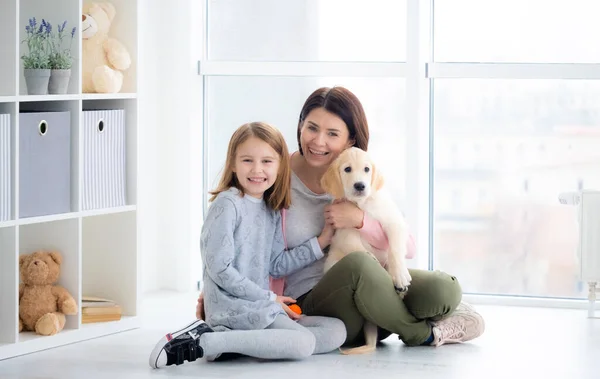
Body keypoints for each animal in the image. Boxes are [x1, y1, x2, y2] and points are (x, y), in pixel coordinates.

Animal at [318, 147, 412, 354]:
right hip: (333, 262)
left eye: (367, 169)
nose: (360, 185)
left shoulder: (394, 221)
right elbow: (357, 248)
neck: (363, 205)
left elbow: (395, 250)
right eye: (347, 169)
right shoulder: (345, 232)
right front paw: (370, 258)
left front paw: (400, 275)